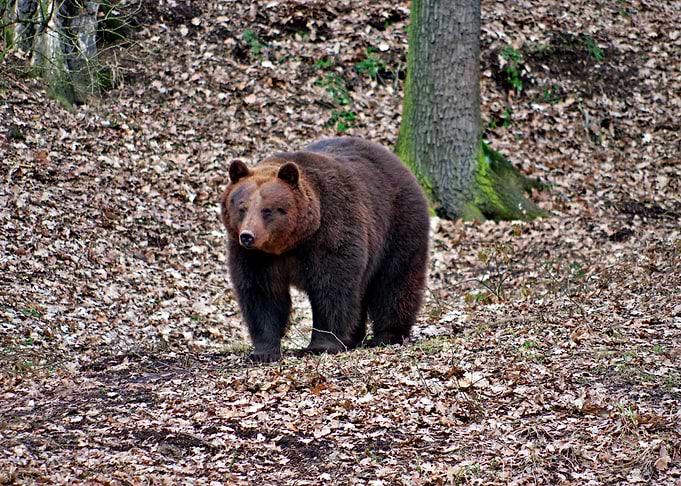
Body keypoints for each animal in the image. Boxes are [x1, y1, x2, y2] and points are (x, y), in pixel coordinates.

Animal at [220, 137, 430, 363]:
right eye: (242, 208)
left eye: (267, 210)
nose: (247, 236)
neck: (291, 243)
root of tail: (398, 162)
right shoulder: (256, 257)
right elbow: (262, 294)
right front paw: (263, 352)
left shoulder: (330, 232)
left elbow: (331, 287)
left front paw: (321, 345)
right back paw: (354, 338)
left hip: (397, 226)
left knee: (394, 281)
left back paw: (388, 335)